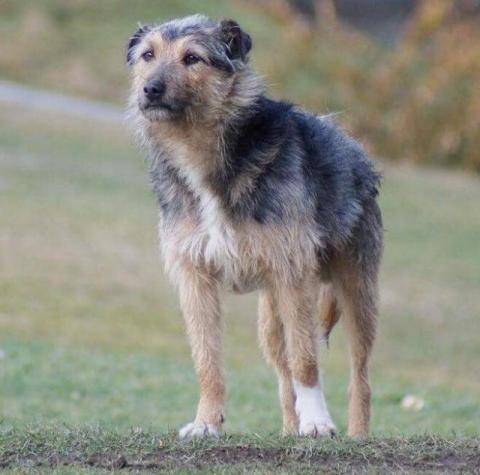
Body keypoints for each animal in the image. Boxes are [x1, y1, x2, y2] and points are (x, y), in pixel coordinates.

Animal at [126, 14, 383, 439]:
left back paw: (356, 434)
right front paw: (206, 423)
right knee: (283, 379)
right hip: (270, 321)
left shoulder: (292, 273)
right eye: (148, 55)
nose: (150, 89)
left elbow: (306, 360)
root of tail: (356, 150)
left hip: (357, 293)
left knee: (358, 377)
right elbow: (207, 362)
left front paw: (318, 422)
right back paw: (289, 431)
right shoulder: (194, 277)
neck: (202, 153)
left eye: (192, 58)